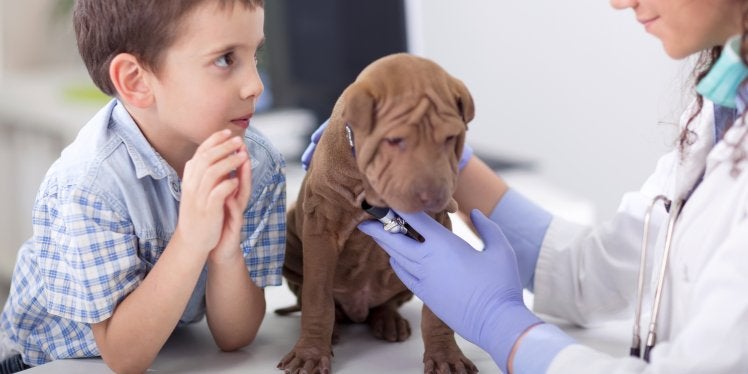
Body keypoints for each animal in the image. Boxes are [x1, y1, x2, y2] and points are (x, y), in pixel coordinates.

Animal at [278, 53, 476, 374]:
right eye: (394, 140)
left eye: (450, 138)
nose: (432, 196)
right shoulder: (322, 227)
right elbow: (317, 298)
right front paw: (310, 352)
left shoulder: (437, 228)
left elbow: (436, 308)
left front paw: (446, 355)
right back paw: (335, 330)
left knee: (386, 304)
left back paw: (388, 320)